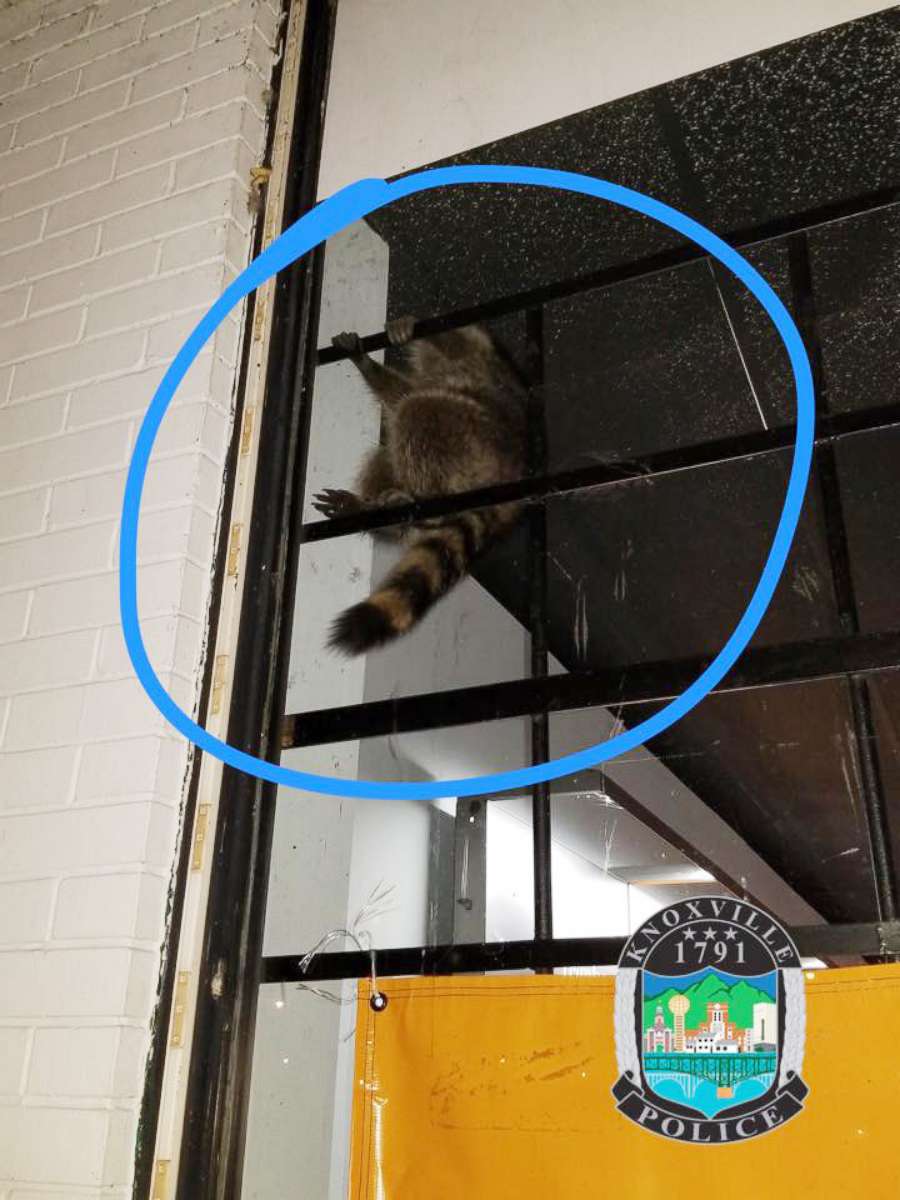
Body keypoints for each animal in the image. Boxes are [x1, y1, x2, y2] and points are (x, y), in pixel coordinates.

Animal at [314, 319, 528, 657]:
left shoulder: (475, 351)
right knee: (387, 452)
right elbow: (396, 392)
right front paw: (366, 363)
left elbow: (419, 383)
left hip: (473, 442)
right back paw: (387, 516)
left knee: (420, 409)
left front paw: (407, 327)